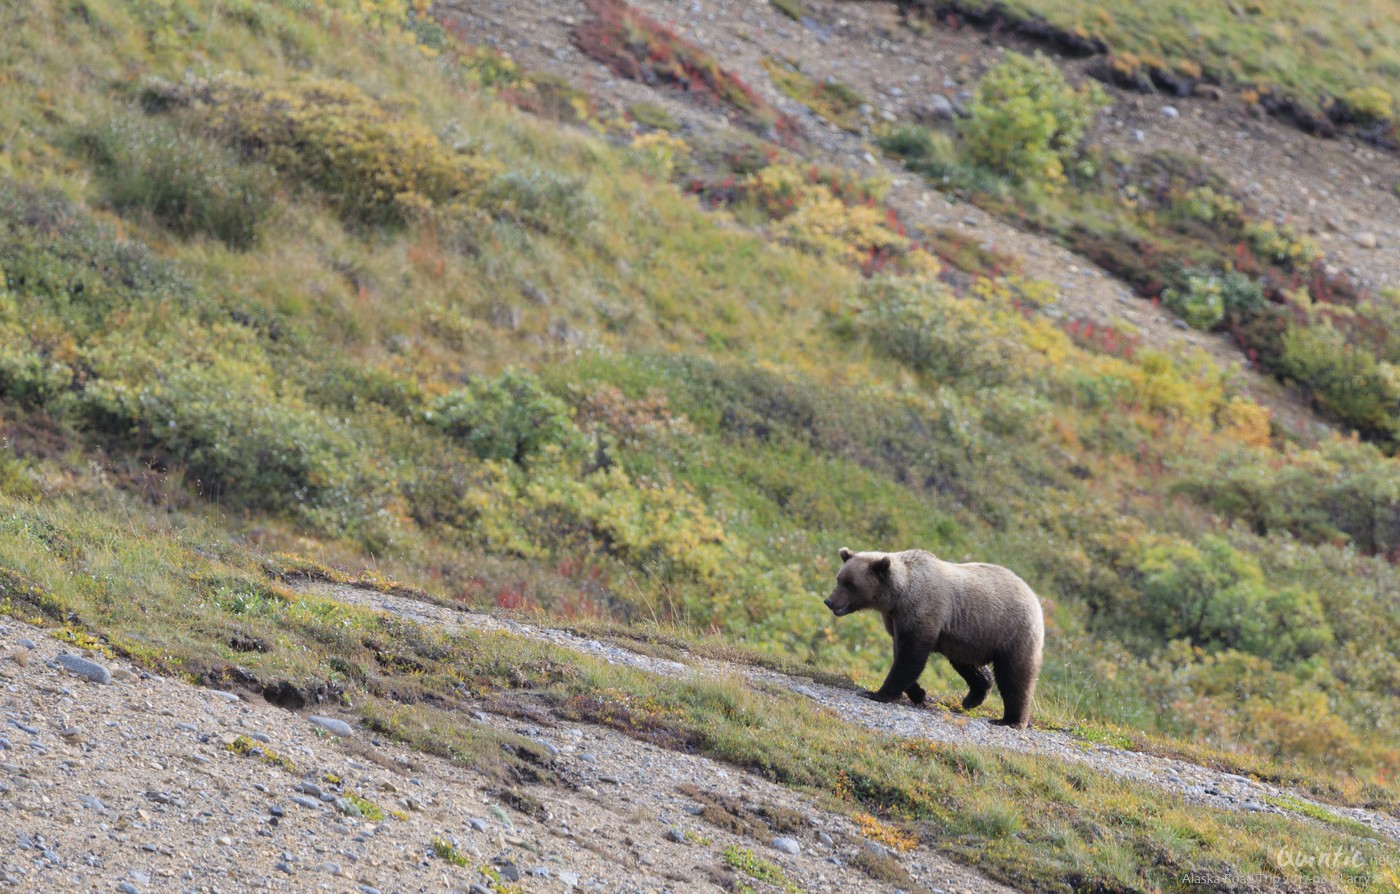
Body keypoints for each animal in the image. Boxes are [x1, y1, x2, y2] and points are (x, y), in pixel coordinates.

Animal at [823, 548, 1047, 733]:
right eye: (839, 578)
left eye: (850, 583)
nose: (829, 601)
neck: (897, 596)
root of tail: (1033, 595)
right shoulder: (896, 620)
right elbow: (902, 655)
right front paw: (921, 694)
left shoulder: (922, 610)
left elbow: (910, 657)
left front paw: (878, 693)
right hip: (967, 640)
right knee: (970, 666)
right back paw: (973, 698)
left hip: (1012, 631)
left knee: (1015, 676)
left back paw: (1011, 719)